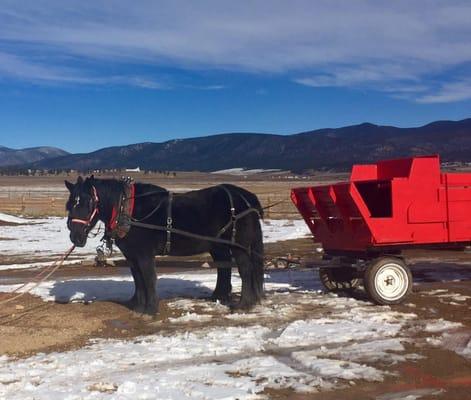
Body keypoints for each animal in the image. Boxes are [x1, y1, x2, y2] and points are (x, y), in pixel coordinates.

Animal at [65, 177, 266, 314]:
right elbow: (137, 278)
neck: (127, 209)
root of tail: (247, 197)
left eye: (89, 202)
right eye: (69, 204)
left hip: (239, 245)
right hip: (218, 246)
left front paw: (151, 308)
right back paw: (219, 295)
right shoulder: (131, 255)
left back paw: (244, 304)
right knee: (224, 268)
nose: (76, 236)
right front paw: (137, 304)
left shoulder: (144, 253)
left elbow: (149, 278)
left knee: (245, 269)